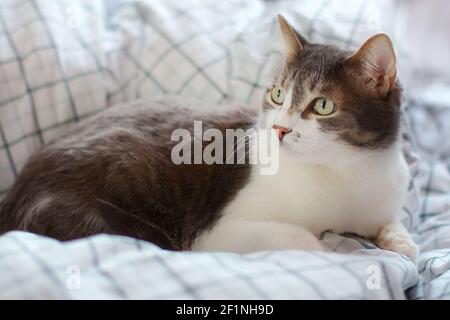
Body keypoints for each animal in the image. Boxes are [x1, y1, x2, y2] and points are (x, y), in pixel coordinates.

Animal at [0, 15, 418, 260]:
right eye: (277, 95)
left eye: (324, 105)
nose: (280, 128)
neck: (341, 172)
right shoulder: (217, 233)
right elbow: (300, 238)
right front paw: (334, 251)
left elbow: (394, 226)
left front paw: (400, 241)